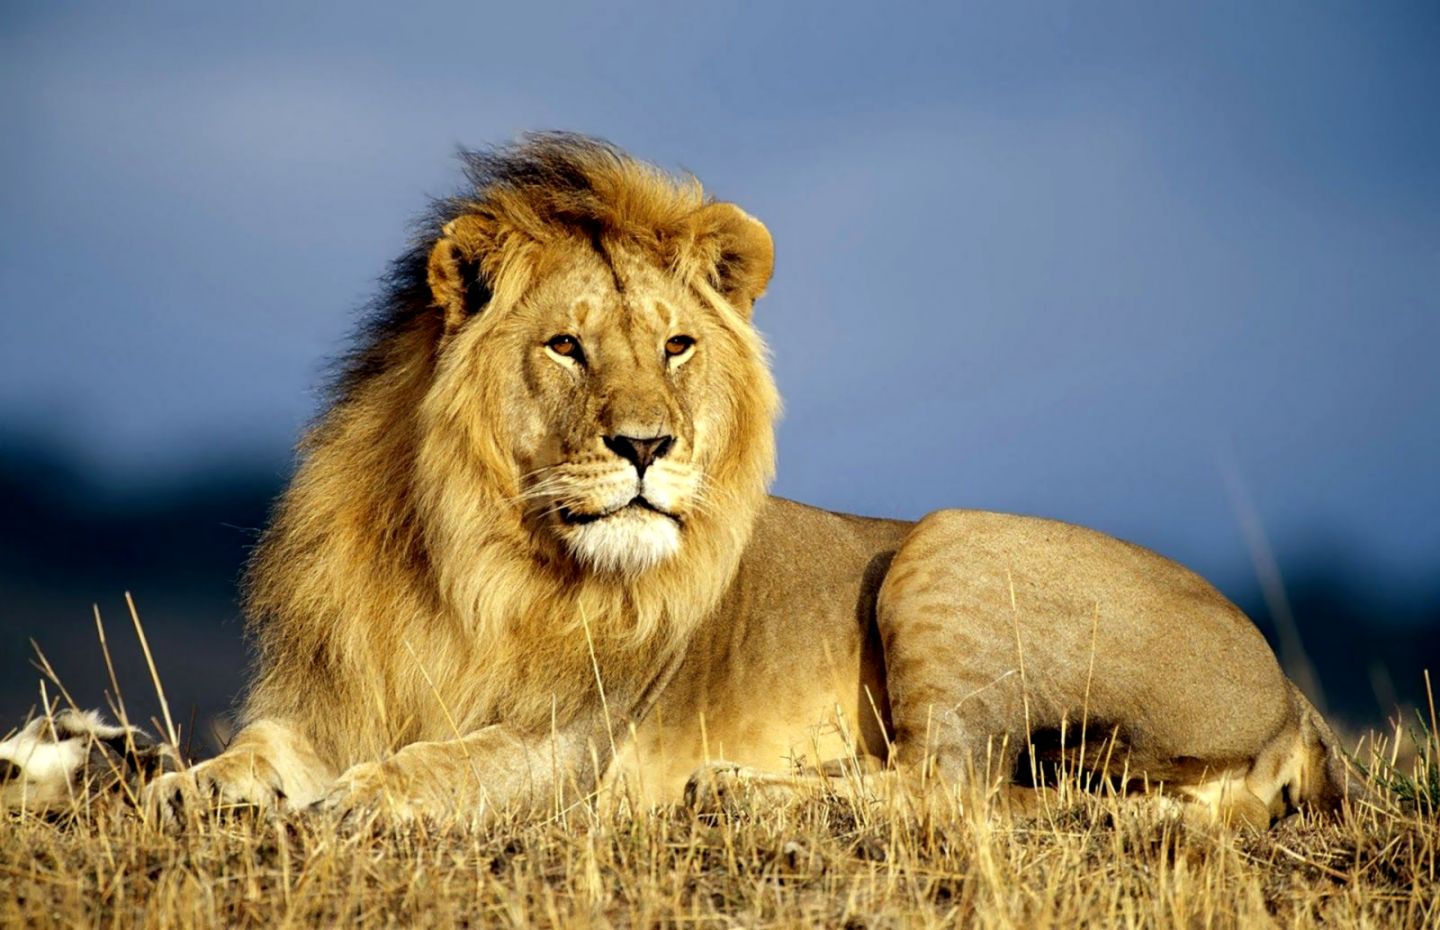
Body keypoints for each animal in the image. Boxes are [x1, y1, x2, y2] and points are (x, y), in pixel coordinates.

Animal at [131, 133, 1346, 828]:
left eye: (675, 346)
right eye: (566, 346)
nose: (646, 447)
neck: (466, 556)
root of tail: (1292, 697)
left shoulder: (573, 741)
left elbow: (445, 767)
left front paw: (362, 799)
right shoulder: (331, 695)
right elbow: (258, 749)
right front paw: (186, 786)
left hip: (947, 543)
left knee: (952, 788)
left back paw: (739, 793)